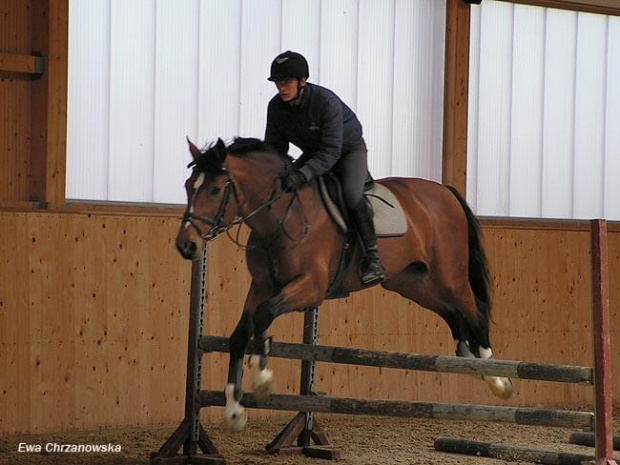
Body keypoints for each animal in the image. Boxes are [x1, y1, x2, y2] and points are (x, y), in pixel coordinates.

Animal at [176, 137, 512, 432]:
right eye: (188, 186)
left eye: (216, 190)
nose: (187, 246)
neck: (283, 216)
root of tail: (445, 191)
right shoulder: (261, 286)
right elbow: (239, 335)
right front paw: (234, 411)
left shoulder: (310, 288)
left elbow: (264, 315)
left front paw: (262, 376)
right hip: (411, 281)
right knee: (453, 313)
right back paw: (466, 356)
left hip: (449, 277)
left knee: (475, 311)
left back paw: (497, 378)